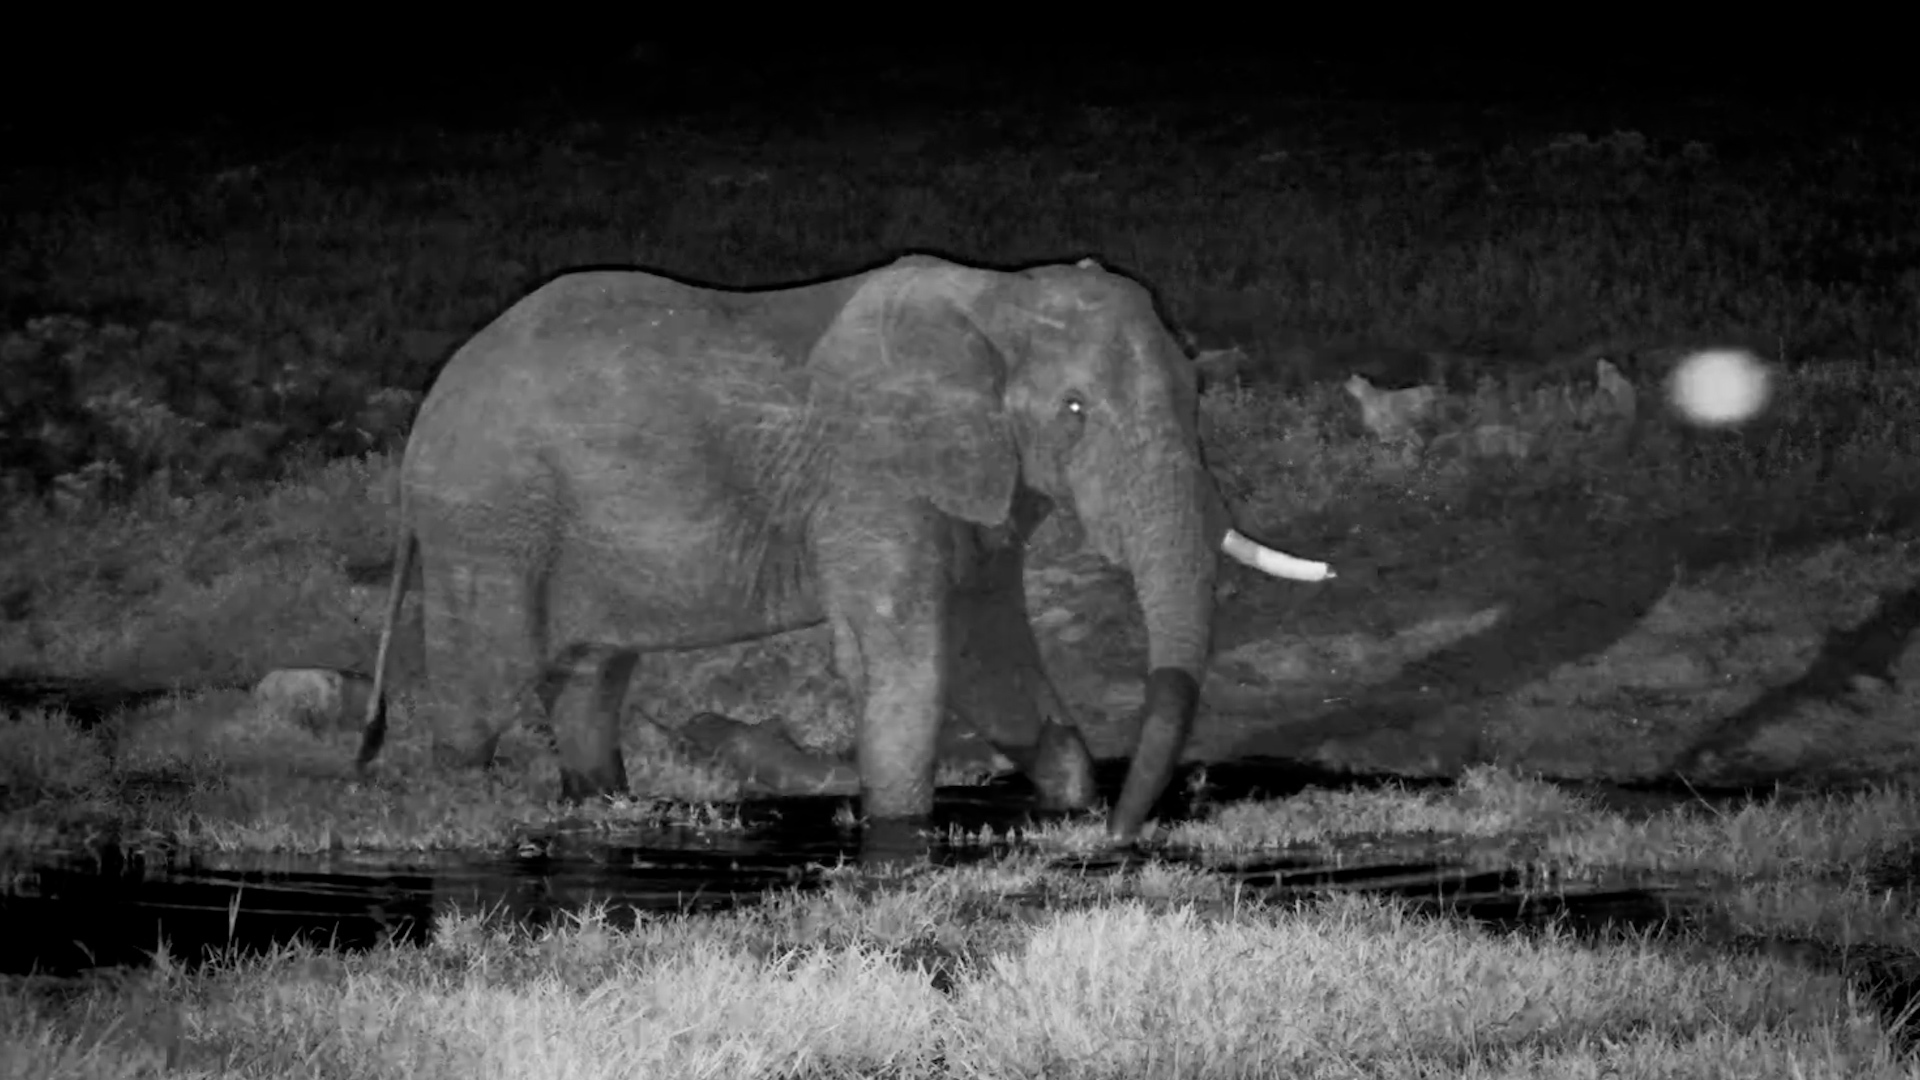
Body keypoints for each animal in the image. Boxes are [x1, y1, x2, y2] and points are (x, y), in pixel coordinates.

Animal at [355, 253, 1331, 843]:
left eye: (1196, 396)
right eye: (1075, 410)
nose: (1122, 840)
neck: (999, 297)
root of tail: (422, 424)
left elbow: (989, 652)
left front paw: (1065, 805)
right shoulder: (873, 476)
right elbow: (911, 659)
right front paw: (900, 834)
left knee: (589, 679)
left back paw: (604, 805)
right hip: (489, 523)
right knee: (480, 693)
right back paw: (465, 804)